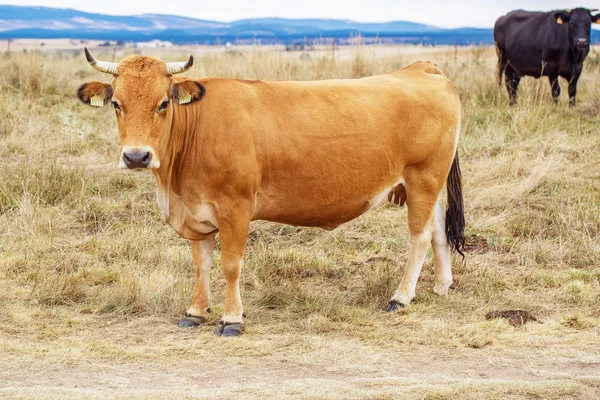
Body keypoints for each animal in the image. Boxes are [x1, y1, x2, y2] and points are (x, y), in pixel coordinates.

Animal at [78, 48, 464, 336]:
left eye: (163, 103)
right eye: (117, 104)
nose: (136, 156)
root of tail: (421, 68)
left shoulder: (235, 208)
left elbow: (230, 265)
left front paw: (232, 319)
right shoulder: (196, 213)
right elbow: (201, 264)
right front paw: (195, 312)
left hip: (423, 177)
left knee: (420, 236)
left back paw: (401, 297)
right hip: (429, 182)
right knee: (439, 229)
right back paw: (442, 285)